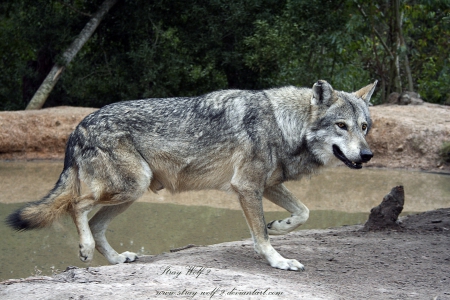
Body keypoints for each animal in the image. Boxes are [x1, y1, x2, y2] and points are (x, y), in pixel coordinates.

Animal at [7, 79, 376, 272]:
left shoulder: (265, 185)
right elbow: (261, 236)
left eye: (364, 127)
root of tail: (78, 126)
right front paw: (278, 261)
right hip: (130, 187)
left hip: (133, 191)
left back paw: (117, 259)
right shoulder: (247, 187)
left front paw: (281, 226)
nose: (368, 155)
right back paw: (84, 249)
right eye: (341, 126)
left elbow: (303, 212)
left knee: (96, 224)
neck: (285, 123)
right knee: (77, 206)